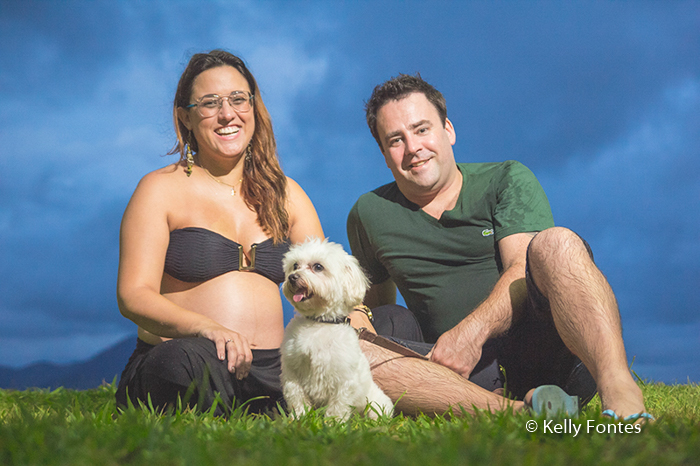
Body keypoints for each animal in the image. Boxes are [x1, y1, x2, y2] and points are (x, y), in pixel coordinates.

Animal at [282, 238, 396, 420]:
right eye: (295, 265)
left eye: (318, 267)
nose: (292, 277)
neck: (320, 322)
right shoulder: (292, 372)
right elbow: (297, 397)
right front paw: (299, 418)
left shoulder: (343, 379)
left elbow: (338, 405)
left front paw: (333, 423)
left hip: (376, 405)